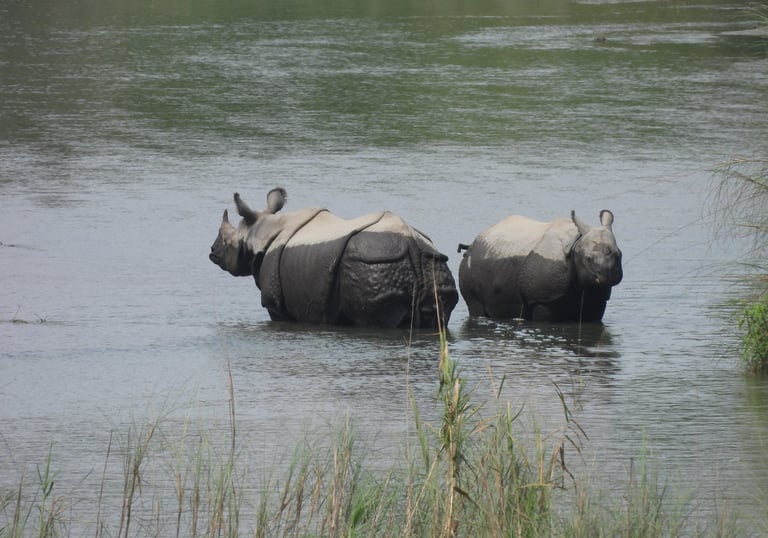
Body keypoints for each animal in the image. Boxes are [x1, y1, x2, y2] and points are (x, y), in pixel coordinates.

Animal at [209, 188, 459, 328]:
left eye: (227, 242)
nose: (212, 252)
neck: (262, 230)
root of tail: (412, 246)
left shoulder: (274, 302)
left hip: (373, 264)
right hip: (432, 263)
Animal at [457, 210, 622, 322]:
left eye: (619, 255)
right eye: (588, 259)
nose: (608, 276)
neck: (576, 243)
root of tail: (473, 243)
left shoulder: (598, 297)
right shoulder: (542, 299)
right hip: (471, 263)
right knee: (475, 307)